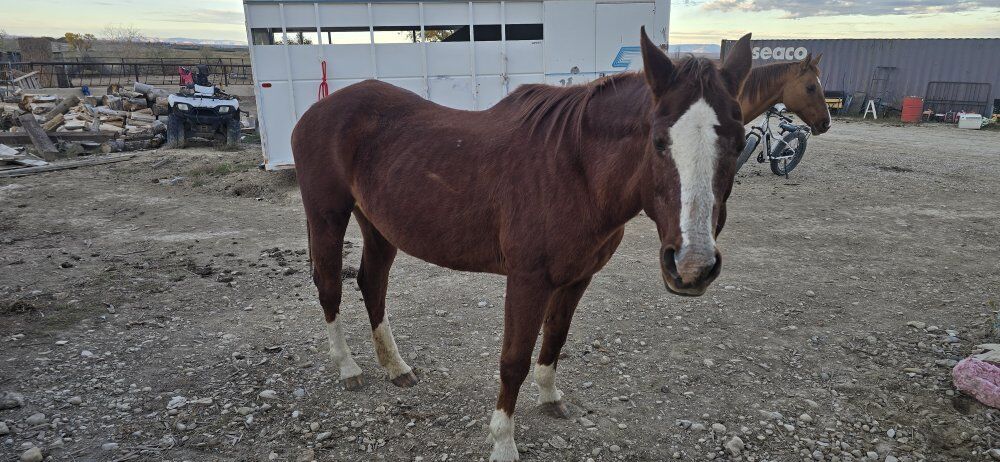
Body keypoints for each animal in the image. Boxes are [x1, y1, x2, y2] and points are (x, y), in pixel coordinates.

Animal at [291, 28, 754, 461]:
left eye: (739, 141)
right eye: (659, 142)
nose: (692, 266)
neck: (574, 169)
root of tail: (317, 111)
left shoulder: (576, 278)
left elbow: (555, 339)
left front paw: (550, 397)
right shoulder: (528, 280)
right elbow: (513, 360)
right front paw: (503, 441)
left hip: (379, 227)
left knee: (372, 284)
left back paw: (395, 366)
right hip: (328, 217)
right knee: (330, 287)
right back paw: (348, 368)